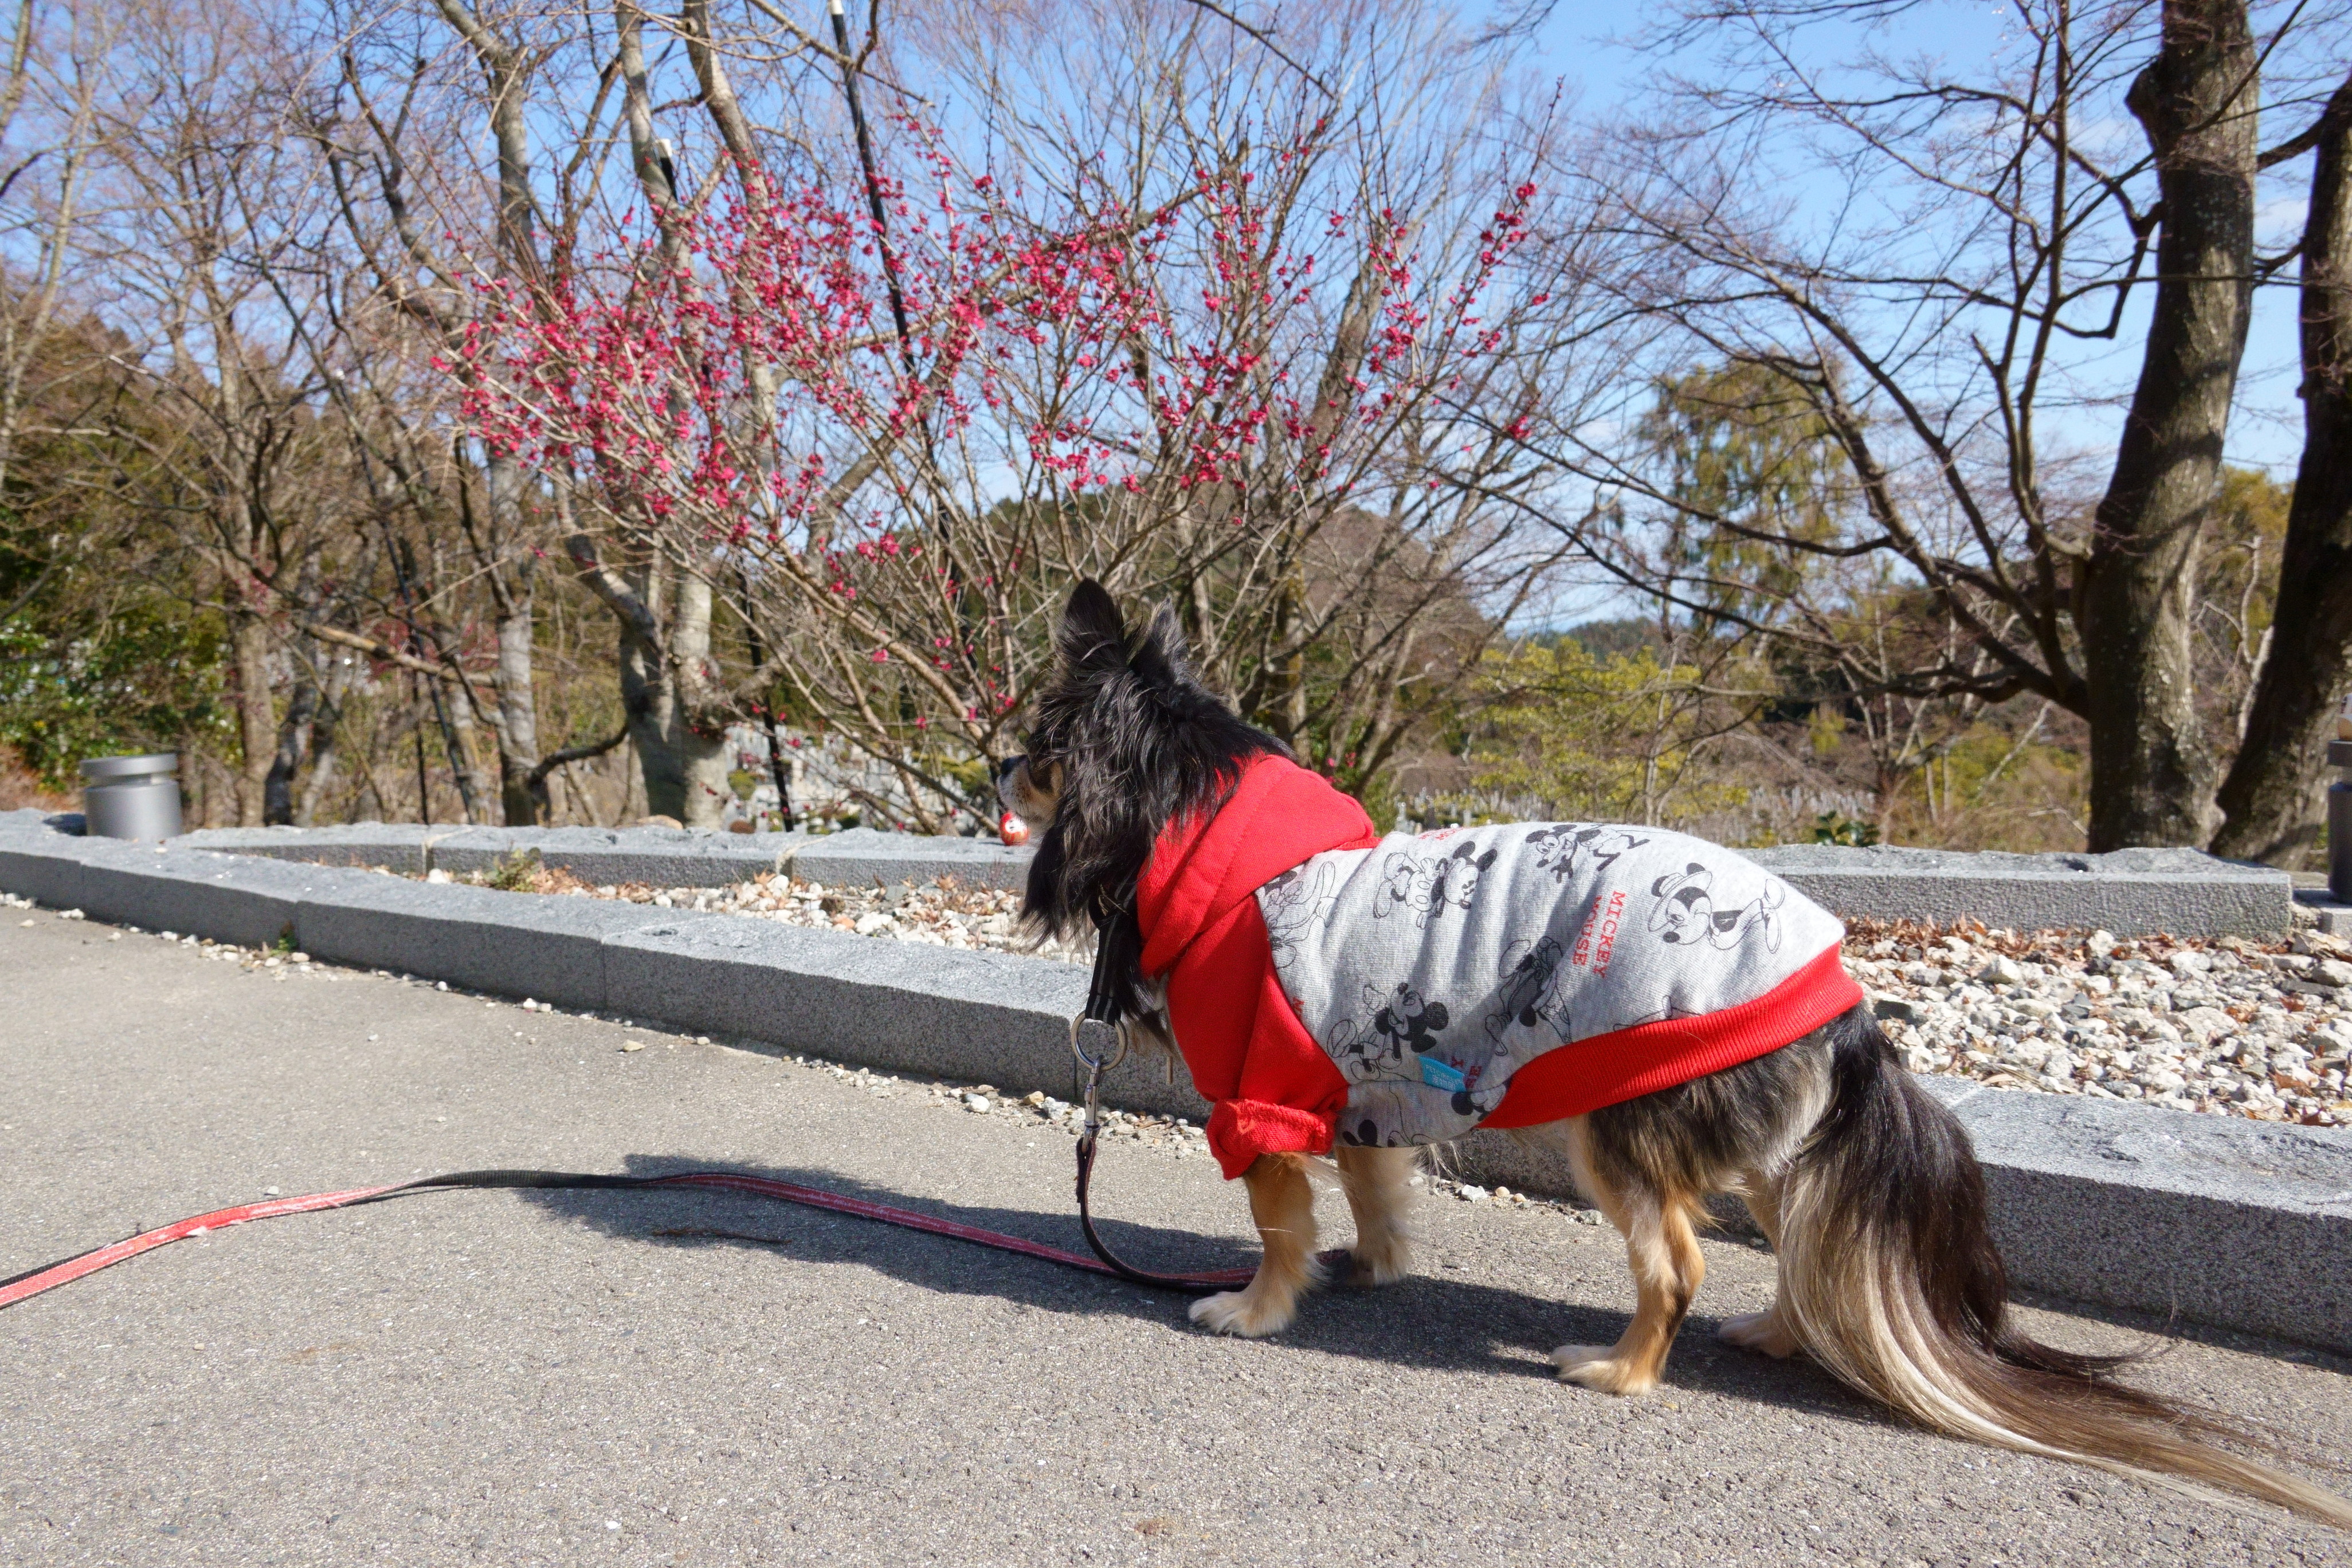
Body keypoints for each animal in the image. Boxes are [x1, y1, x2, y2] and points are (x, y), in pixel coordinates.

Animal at [1002, 583, 2352, 1523]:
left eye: (1038, 745)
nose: (996, 761)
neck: (1228, 849)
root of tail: (1845, 1007)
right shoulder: (1364, 1092)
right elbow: (1377, 1190)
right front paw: (1372, 1268)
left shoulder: (1266, 1098)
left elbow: (1279, 1218)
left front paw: (1255, 1307)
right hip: (1756, 1142)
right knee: (1805, 1239)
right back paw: (1774, 1335)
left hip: (1619, 1132)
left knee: (1677, 1266)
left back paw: (1620, 1370)